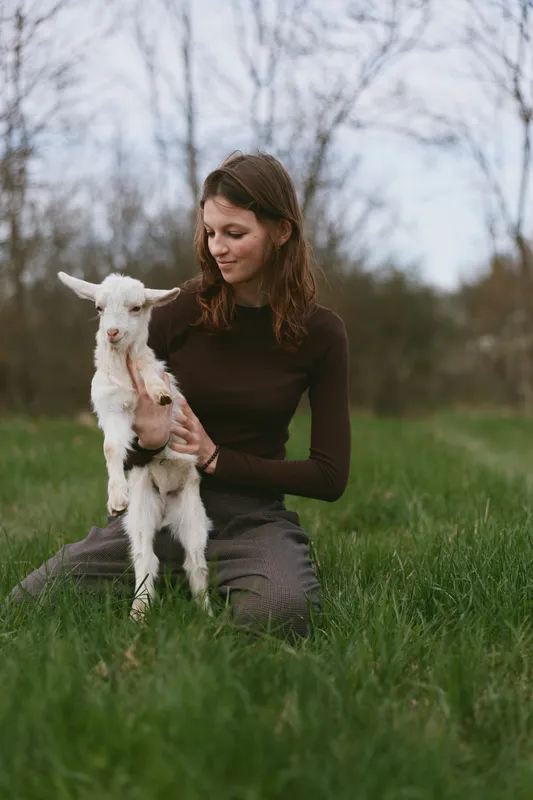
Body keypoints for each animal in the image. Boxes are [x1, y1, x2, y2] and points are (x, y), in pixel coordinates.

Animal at [58, 271, 212, 620]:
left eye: (137, 307)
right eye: (99, 307)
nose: (112, 332)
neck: (122, 365)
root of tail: (167, 507)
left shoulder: (148, 367)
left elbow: (149, 370)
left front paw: (159, 393)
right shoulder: (112, 407)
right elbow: (112, 449)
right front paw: (116, 497)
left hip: (193, 514)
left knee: (196, 562)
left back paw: (207, 614)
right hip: (142, 512)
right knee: (146, 557)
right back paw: (139, 612)